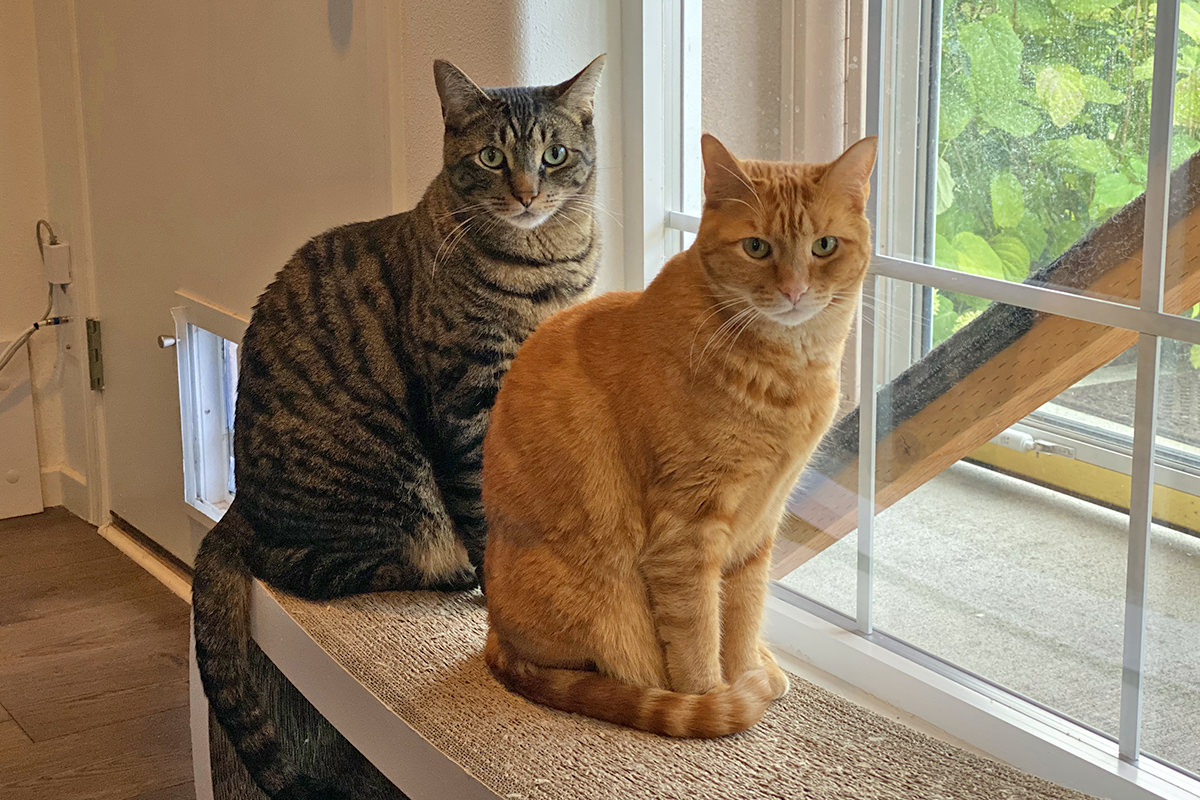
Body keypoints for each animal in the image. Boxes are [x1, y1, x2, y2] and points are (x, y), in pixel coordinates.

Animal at [198, 53, 609, 796]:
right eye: (491, 155)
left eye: (555, 154)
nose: (528, 193)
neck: (544, 267)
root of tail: (241, 504)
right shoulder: (466, 400)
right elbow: (482, 508)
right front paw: (502, 591)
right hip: (385, 490)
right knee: (306, 565)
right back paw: (450, 572)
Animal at [480, 131, 883, 738]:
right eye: (756, 247)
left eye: (825, 246)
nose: (794, 290)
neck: (788, 374)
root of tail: (495, 639)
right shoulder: (687, 532)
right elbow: (696, 633)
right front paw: (715, 700)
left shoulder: (759, 525)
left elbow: (742, 616)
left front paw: (748, 671)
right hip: (598, 597)